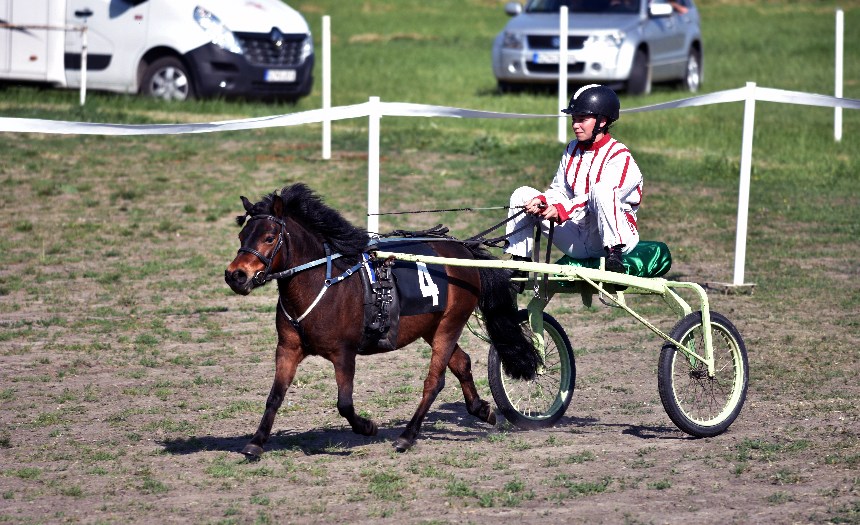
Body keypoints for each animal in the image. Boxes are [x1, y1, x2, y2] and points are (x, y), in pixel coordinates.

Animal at [225, 183, 540, 454]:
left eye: (268, 237)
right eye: (242, 236)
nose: (235, 275)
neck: (325, 282)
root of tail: (464, 251)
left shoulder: (344, 353)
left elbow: (344, 403)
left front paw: (368, 426)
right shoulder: (288, 349)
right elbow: (275, 396)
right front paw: (256, 443)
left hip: (450, 324)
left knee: (434, 381)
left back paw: (407, 436)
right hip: (432, 326)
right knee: (461, 362)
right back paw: (482, 410)